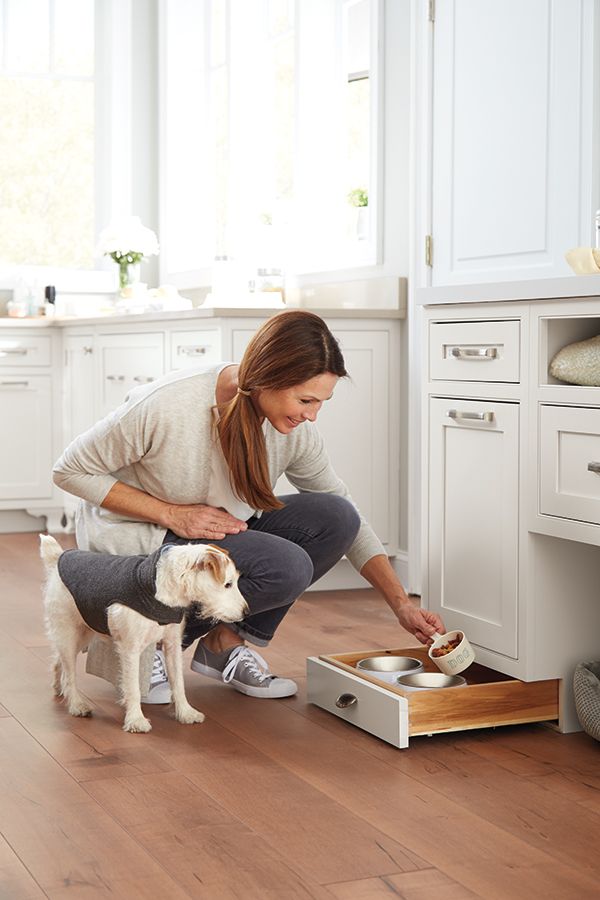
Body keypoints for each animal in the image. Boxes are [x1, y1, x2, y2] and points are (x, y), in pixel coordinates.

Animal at [39, 536, 247, 732]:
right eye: (228, 584)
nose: (246, 612)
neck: (163, 588)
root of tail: (57, 558)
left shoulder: (172, 645)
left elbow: (178, 682)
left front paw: (186, 712)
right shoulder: (130, 649)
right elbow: (133, 687)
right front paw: (136, 720)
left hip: (84, 633)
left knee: (59, 662)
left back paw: (59, 689)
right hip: (69, 633)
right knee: (69, 674)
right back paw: (77, 704)